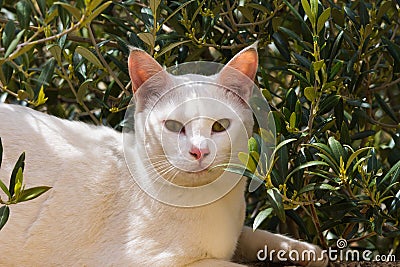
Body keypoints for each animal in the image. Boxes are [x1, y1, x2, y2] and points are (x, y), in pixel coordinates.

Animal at [0, 45, 328, 266]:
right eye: (172, 126)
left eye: (219, 126)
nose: (199, 151)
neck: (214, 202)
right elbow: (230, 264)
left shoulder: (237, 233)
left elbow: (257, 236)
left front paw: (312, 252)